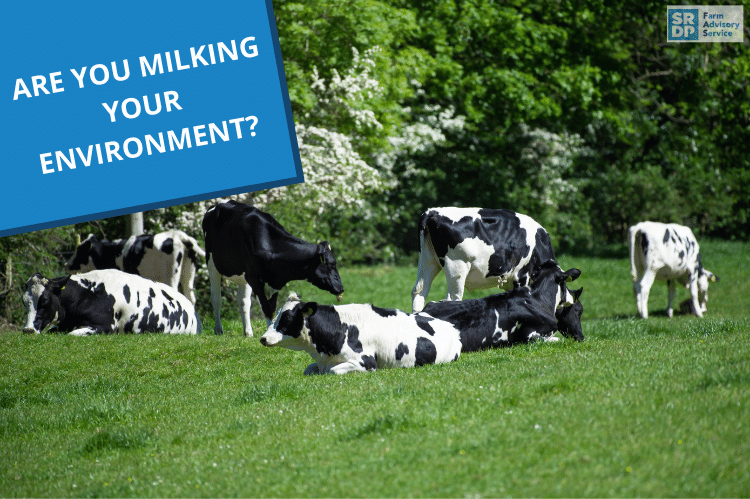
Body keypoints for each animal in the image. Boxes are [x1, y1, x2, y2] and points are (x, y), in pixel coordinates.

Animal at [64, 230, 204, 304]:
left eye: (80, 250)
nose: (67, 265)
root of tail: (177, 234)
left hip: (170, 276)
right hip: (188, 272)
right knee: (190, 297)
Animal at [201, 201, 346, 338]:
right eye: (331, 264)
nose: (341, 288)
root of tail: (216, 205)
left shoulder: (274, 280)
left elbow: (272, 307)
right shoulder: (254, 277)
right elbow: (266, 307)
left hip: (242, 275)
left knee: (244, 302)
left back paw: (248, 332)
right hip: (211, 263)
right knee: (216, 298)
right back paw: (218, 329)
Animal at [260, 292, 464, 376]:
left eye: (287, 318)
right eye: (276, 316)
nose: (263, 338)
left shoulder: (366, 362)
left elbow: (333, 371)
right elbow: (308, 370)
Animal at [412, 207, 564, 312]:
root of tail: (433, 212)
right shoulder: (522, 274)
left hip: (428, 261)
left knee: (419, 293)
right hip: (456, 267)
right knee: (451, 299)